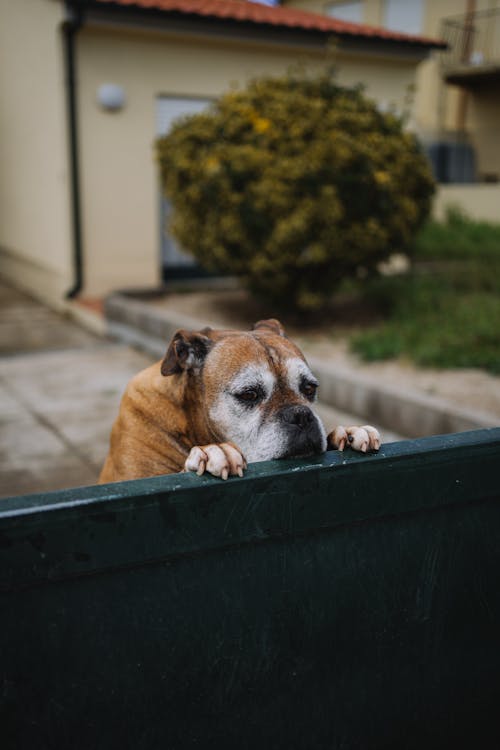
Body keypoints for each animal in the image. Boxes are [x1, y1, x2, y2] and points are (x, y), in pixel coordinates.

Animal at [97, 318, 378, 484]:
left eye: (309, 388)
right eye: (249, 394)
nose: (301, 415)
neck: (186, 419)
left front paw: (347, 433)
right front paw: (212, 452)